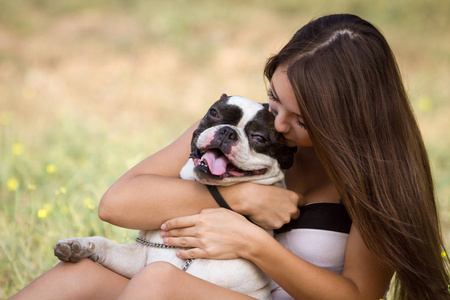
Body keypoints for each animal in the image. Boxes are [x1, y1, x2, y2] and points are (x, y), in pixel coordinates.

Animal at [53, 94, 296, 300]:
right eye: (214, 113)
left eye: (259, 137)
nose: (228, 131)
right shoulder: (137, 260)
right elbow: (104, 244)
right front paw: (78, 245)